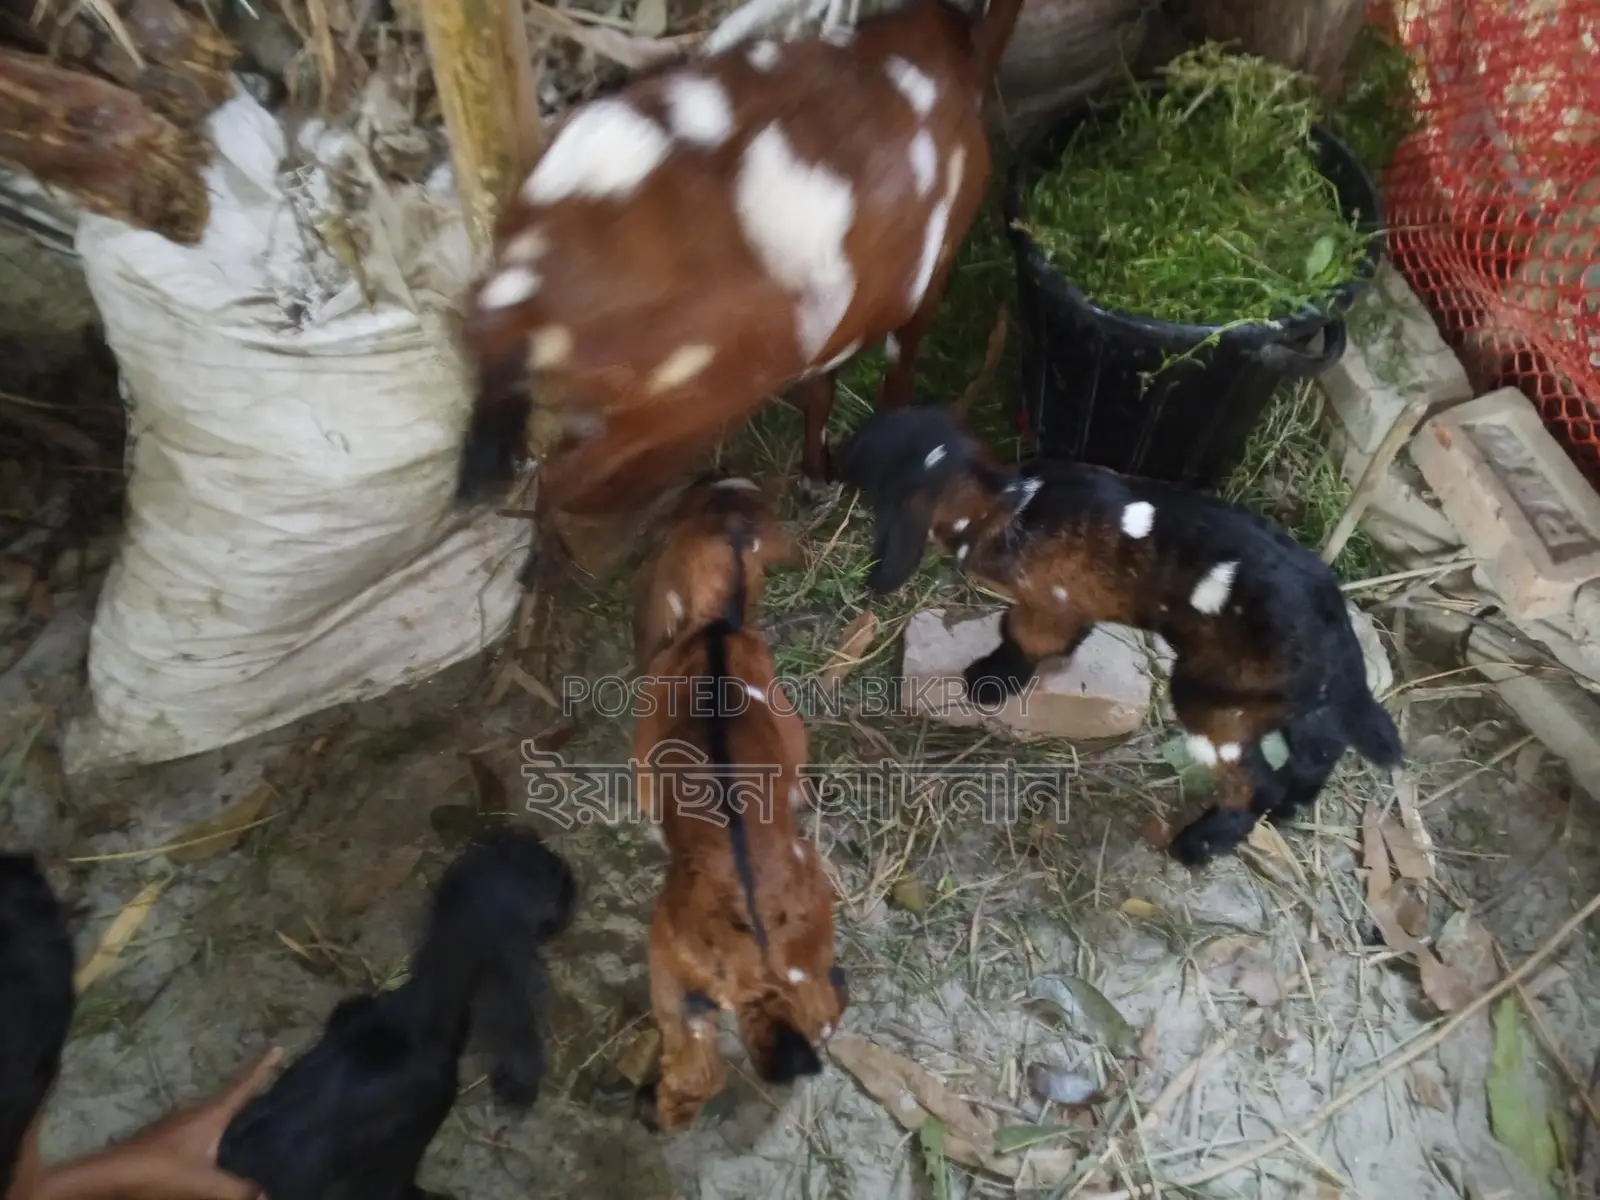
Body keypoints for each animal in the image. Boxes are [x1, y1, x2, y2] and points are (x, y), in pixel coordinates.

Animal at [454, 0, 1027, 530]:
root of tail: (519, 289)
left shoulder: (846, 310)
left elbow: (823, 387)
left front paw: (816, 477)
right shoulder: (931, 269)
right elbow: (896, 373)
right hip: (672, 410)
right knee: (562, 481)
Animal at [629, 476, 846, 1131]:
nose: (731, 478)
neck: (715, 631)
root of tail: (761, 972)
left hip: (667, 965)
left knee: (694, 1065)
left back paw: (652, 1107)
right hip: (810, 951)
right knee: (819, 1013)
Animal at [835, 406, 1404, 866]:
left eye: (864, 458)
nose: (828, 458)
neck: (1009, 506)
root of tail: (1333, 624)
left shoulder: (1048, 602)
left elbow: (1021, 636)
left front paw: (990, 682)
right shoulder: (1072, 603)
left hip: (1211, 697)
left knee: (1255, 782)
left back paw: (1200, 844)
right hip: (1281, 697)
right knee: (1320, 743)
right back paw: (1292, 806)